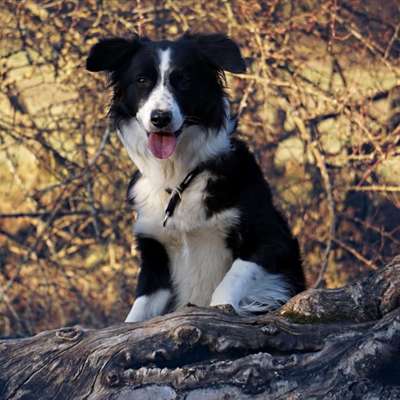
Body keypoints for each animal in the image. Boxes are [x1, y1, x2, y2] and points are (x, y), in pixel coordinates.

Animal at [87, 32, 304, 324]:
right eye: (142, 80)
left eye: (184, 80)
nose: (160, 118)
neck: (179, 179)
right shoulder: (155, 259)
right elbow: (137, 314)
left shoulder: (272, 240)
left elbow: (229, 282)